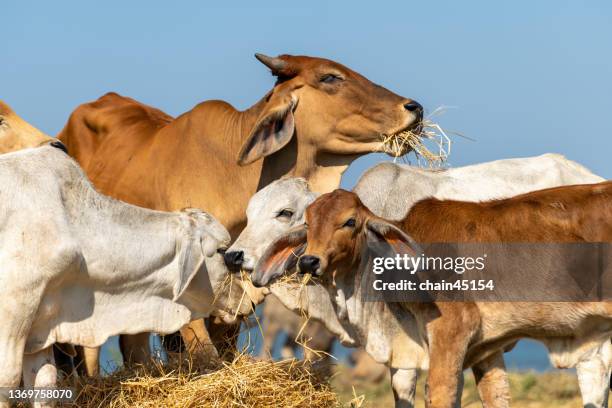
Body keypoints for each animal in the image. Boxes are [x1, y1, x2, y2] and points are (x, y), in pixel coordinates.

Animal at [0, 145, 253, 406]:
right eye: (222, 250)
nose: (249, 301)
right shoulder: (12, 316)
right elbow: (8, 382)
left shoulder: (40, 331)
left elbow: (45, 386)